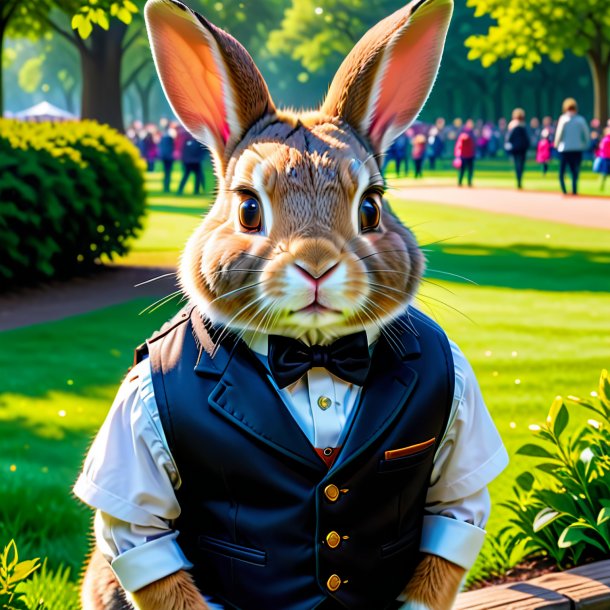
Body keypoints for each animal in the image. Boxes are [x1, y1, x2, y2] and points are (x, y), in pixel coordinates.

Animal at [79, 1, 470, 608]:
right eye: (248, 209)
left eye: (371, 209)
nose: (316, 262)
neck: (313, 354)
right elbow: (146, 541)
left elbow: (454, 517)